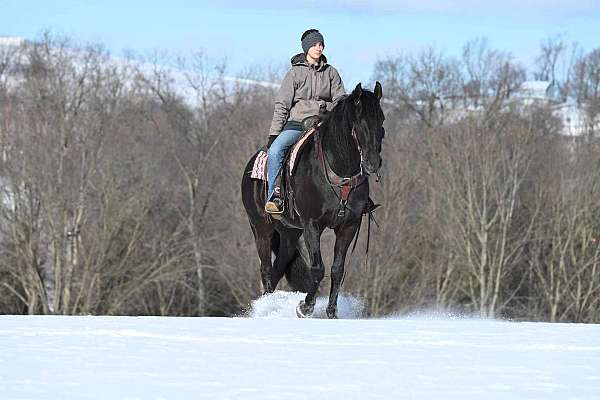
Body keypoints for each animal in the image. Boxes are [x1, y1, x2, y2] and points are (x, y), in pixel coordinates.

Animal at [240, 82, 384, 318]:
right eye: (360, 122)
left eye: (381, 120)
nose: (373, 163)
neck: (339, 171)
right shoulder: (312, 225)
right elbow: (318, 268)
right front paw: (305, 306)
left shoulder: (349, 226)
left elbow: (337, 269)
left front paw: (332, 311)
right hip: (261, 227)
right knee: (266, 269)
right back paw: (266, 307)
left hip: (289, 232)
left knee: (279, 266)